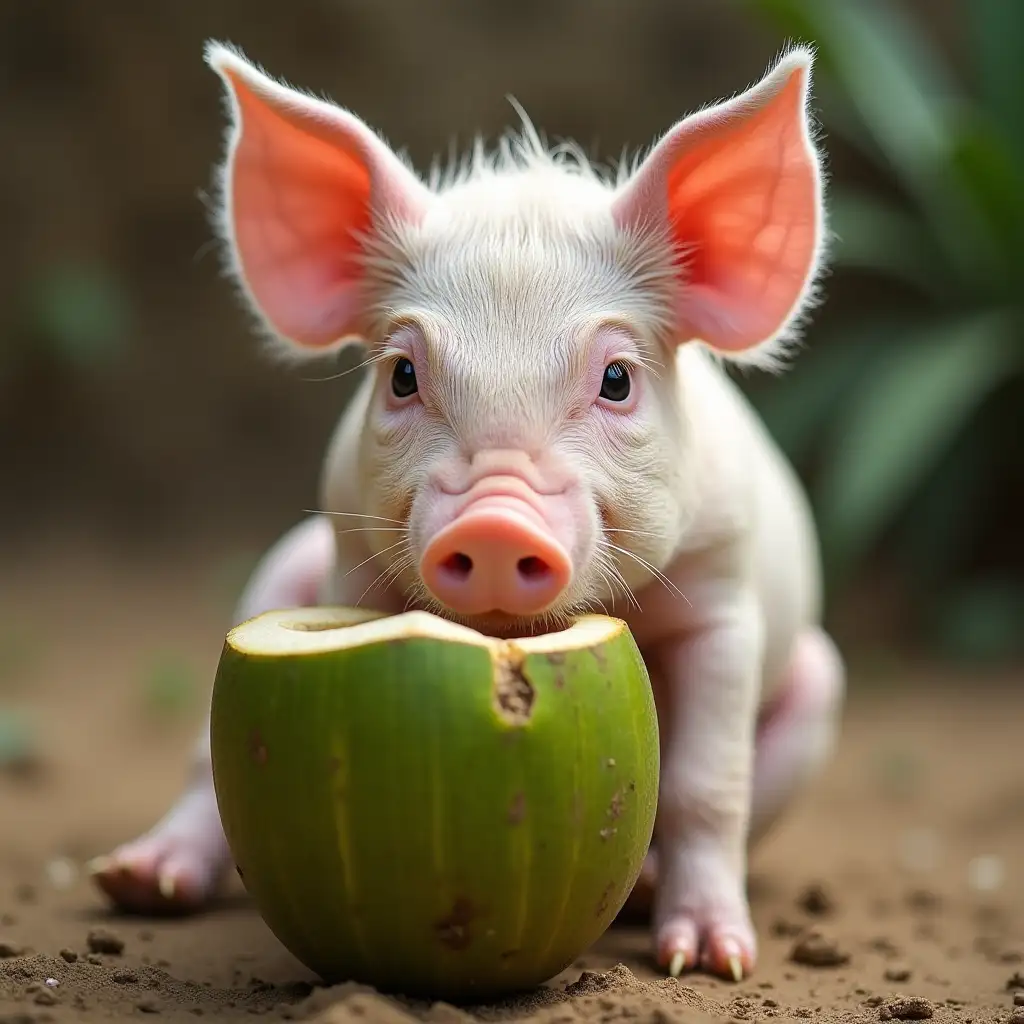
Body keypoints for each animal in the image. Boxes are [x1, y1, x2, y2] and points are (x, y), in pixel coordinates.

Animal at [89, 40, 845, 983]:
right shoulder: (347, 554)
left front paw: (707, 963)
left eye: (617, 379)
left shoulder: (724, 594)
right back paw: (134, 883)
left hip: (820, 686)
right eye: (403, 375)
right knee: (199, 762)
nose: (494, 522)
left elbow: (708, 784)